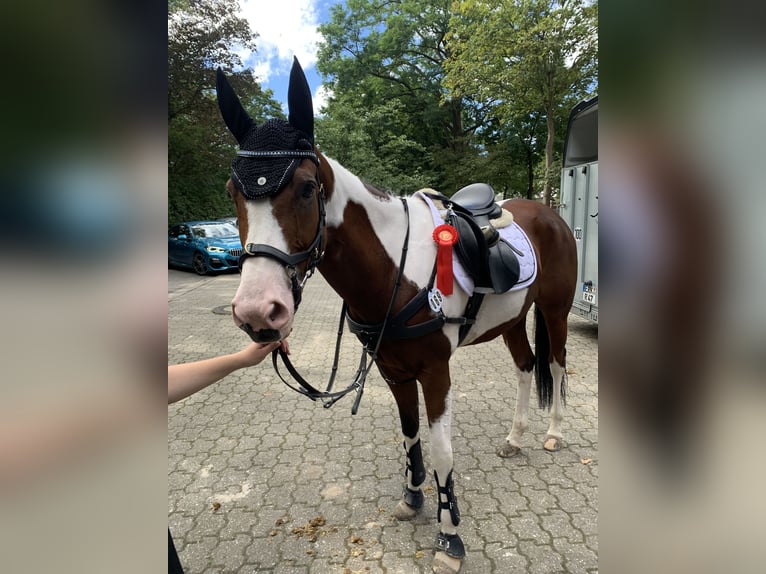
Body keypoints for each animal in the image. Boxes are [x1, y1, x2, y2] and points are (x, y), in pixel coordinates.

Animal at [214, 59, 576, 574]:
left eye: (306, 188)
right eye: (232, 192)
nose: (257, 310)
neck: (395, 269)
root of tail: (550, 214)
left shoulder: (436, 371)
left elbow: (442, 449)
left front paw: (449, 535)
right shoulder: (393, 368)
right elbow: (409, 433)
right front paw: (412, 497)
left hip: (555, 310)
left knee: (559, 366)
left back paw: (553, 433)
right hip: (512, 320)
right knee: (527, 368)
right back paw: (515, 437)